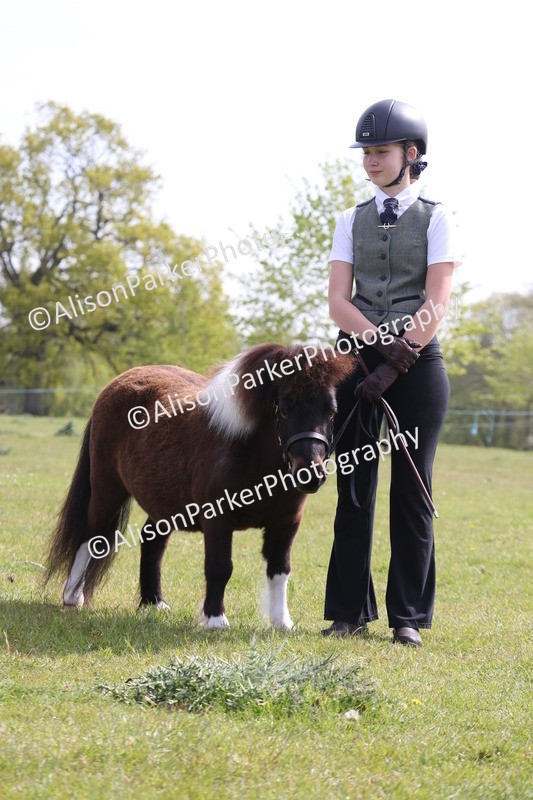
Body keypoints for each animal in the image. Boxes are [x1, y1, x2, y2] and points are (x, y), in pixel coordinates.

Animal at [45, 342, 354, 629]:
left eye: (331, 411)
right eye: (286, 409)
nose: (310, 474)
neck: (248, 455)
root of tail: (116, 383)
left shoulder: (286, 523)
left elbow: (280, 570)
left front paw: (281, 623)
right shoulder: (218, 520)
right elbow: (219, 568)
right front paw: (216, 620)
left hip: (163, 504)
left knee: (151, 542)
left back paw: (154, 603)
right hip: (107, 489)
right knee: (90, 536)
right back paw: (73, 597)